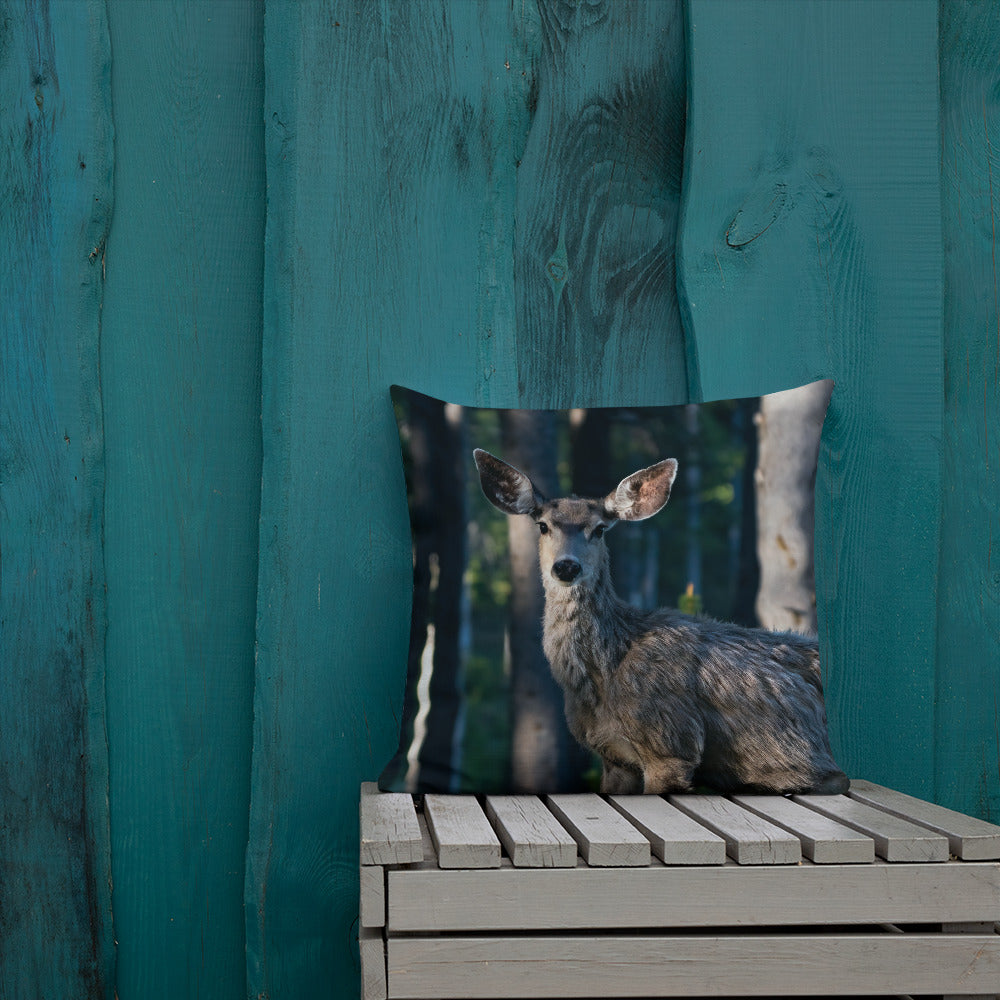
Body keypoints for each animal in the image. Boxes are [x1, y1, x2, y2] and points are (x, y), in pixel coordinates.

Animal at [474, 448, 849, 796]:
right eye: (543, 525)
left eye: (599, 529)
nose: (566, 566)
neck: (605, 673)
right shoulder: (613, 757)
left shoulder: (671, 743)